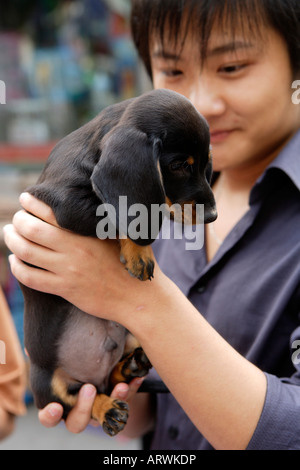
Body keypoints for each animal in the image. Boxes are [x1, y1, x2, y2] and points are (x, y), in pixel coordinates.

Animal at [21, 89, 218, 436]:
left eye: (206, 162)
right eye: (179, 164)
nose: (212, 216)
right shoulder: (67, 204)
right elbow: (118, 216)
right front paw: (141, 251)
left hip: (134, 336)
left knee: (109, 382)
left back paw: (128, 368)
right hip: (46, 384)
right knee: (78, 396)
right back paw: (107, 409)